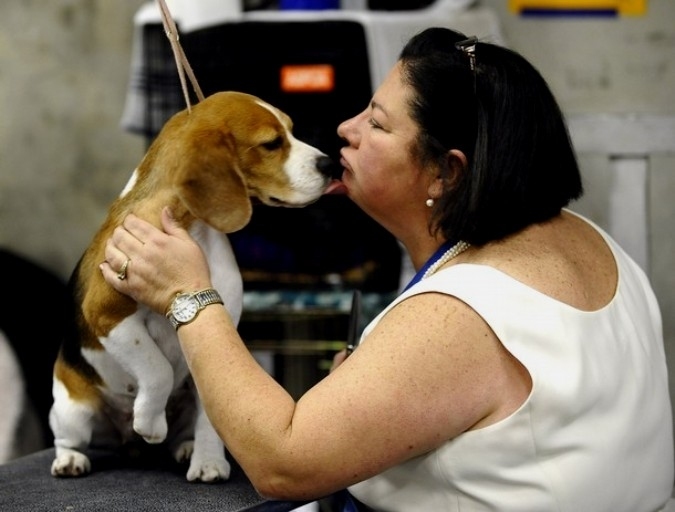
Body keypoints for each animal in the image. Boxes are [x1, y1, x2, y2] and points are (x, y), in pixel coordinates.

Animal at [48, 91, 338, 480]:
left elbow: (208, 416)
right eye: (271, 144)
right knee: (70, 437)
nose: (330, 164)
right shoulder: (107, 315)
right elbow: (158, 367)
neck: (195, 230)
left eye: (291, 130)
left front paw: (209, 462)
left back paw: (185, 447)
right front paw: (150, 421)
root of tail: (126, 443)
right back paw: (71, 459)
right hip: (72, 410)